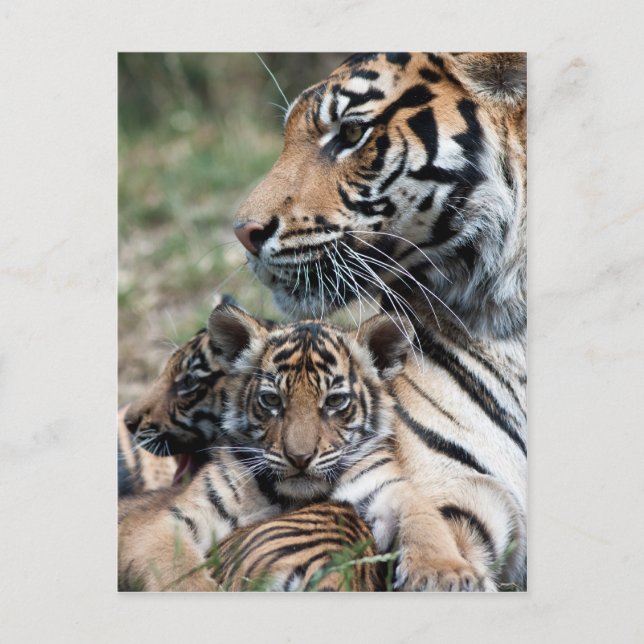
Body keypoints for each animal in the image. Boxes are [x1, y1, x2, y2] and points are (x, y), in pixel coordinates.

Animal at [118, 303, 481, 591]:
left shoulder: (386, 485)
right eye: (271, 400)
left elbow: (425, 519)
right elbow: (176, 571)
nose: (300, 457)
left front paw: (444, 573)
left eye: (334, 401)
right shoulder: (170, 520)